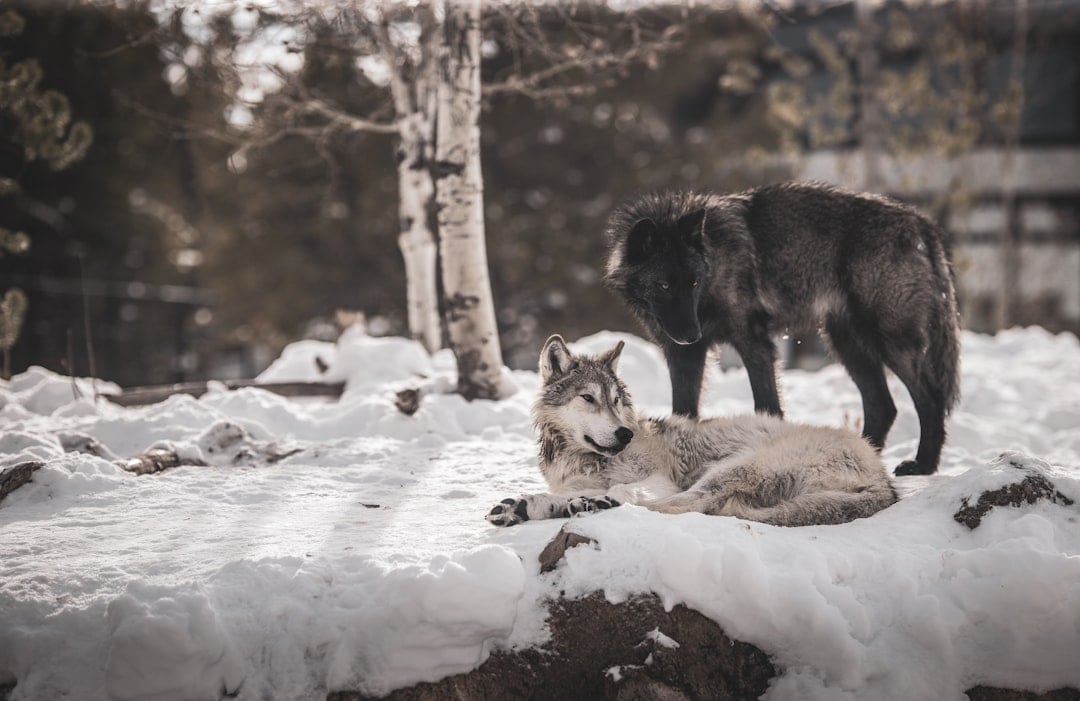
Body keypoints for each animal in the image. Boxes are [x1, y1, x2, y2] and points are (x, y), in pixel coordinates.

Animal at [486, 335, 896, 528]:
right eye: (588, 398)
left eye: (616, 399)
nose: (625, 434)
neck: (585, 459)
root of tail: (884, 479)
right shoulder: (575, 481)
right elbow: (566, 494)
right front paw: (528, 504)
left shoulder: (659, 479)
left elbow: (628, 490)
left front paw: (595, 501)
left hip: (731, 468)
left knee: (690, 505)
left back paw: (598, 506)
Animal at [603, 182, 961, 476]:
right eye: (664, 285)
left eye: (692, 283)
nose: (693, 334)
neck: (715, 261)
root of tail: (920, 222)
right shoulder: (683, 355)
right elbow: (683, 411)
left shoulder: (753, 343)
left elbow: (767, 405)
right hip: (846, 343)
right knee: (883, 406)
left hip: (889, 341)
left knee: (930, 398)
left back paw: (923, 465)